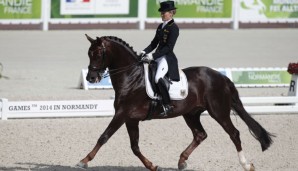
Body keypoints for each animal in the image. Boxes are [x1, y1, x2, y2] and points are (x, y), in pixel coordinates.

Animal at [77, 34, 274, 171]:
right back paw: (181, 161)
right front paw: (152, 166)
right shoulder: (130, 119)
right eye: (88, 54)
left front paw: (83, 161)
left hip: (218, 112)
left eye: (99, 54)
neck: (131, 77)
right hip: (191, 113)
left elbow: (104, 137)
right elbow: (134, 147)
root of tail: (221, 77)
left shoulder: (122, 114)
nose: (91, 78)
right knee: (200, 134)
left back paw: (246, 165)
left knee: (234, 134)